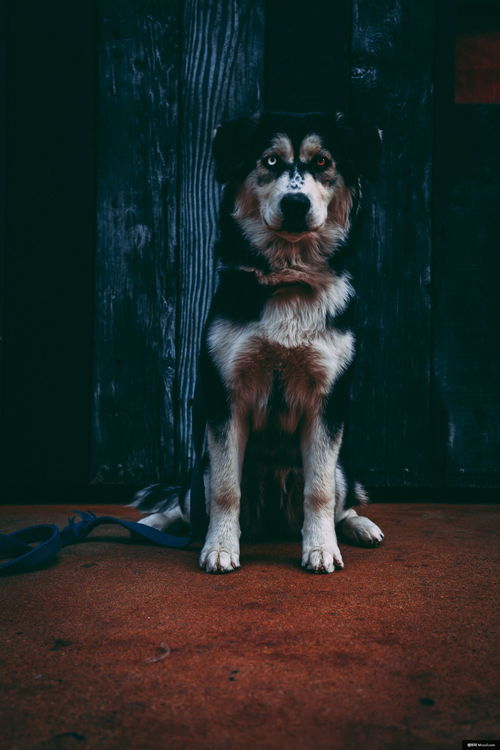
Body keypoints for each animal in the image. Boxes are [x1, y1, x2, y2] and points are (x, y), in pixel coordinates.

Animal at [132, 110, 382, 576]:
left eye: (322, 162)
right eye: (270, 161)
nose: (295, 204)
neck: (289, 280)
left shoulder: (328, 401)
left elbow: (320, 491)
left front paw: (321, 548)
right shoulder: (224, 397)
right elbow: (225, 490)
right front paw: (219, 547)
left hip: (342, 466)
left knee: (342, 500)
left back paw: (359, 526)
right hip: (200, 465)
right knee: (185, 504)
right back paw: (154, 523)